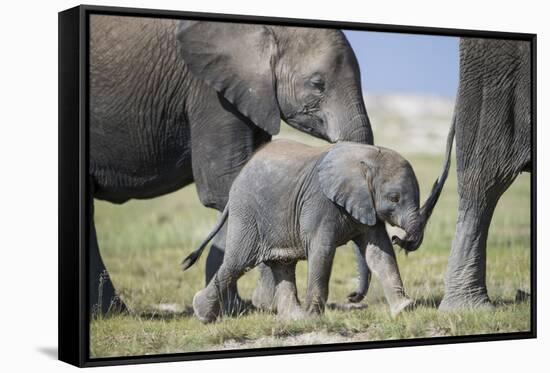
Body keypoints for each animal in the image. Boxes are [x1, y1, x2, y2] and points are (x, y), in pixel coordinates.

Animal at [88, 15, 378, 314]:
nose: (352, 296)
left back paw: (110, 311)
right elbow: (225, 185)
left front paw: (256, 305)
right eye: (317, 84)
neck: (263, 29)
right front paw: (251, 307)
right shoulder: (209, 93)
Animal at [183, 140, 424, 322]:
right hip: (247, 215)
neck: (366, 155)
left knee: (282, 265)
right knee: (237, 263)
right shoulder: (319, 203)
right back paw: (202, 314)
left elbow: (380, 254)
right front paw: (315, 317)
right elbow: (322, 252)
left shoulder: (366, 206)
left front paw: (404, 308)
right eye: (394, 198)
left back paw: (295, 318)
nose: (400, 238)